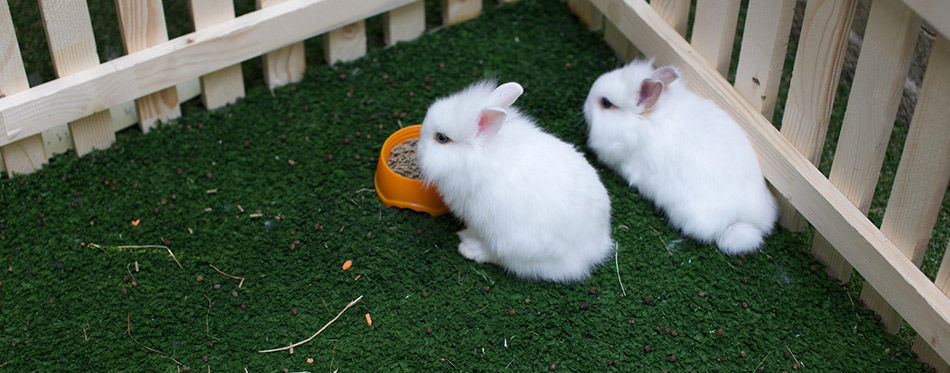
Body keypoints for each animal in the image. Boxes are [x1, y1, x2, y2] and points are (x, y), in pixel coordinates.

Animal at [418, 80, 612, 280]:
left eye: (442, 138)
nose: (420, 142)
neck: (479, 153)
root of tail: (594, 250)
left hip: (513, 243)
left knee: (501, 257)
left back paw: (470, 248)